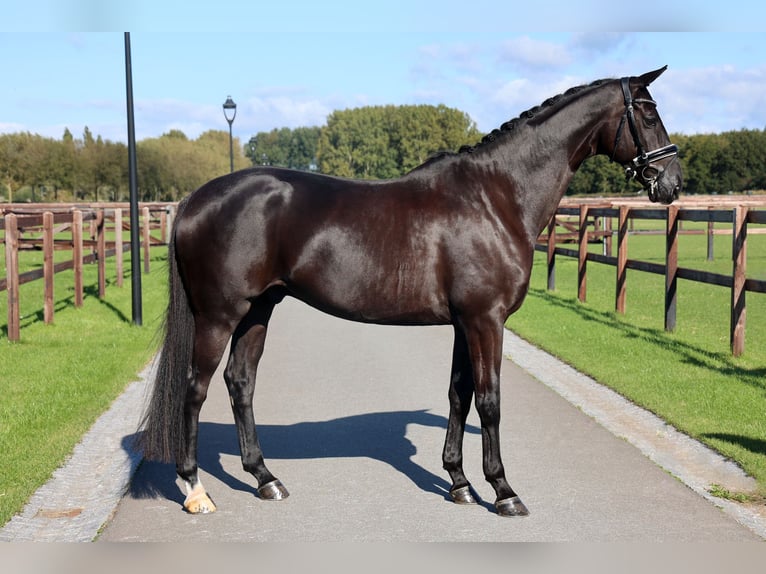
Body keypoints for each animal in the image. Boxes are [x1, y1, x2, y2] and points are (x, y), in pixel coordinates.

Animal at [136, 66, 684, 516]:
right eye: (649, 113)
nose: (672, 183)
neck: (496, 195)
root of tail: (196, 198)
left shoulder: (466, 322)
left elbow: (459, 394)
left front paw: (460, 484)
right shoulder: (486, 319)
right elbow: (490, 400)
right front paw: (503, 492)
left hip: (258, 310)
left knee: (240, 383)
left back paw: (265, 478)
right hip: (219, 315)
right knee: (196, 388)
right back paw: (196, 490)